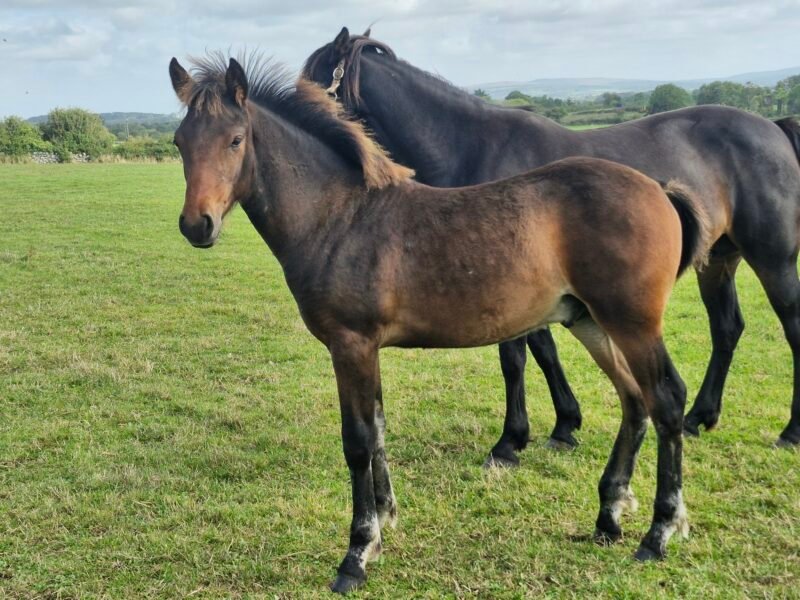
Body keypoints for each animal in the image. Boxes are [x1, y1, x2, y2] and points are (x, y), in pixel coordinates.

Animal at [169, 53, 710, 593]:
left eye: (235, 139)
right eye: (179, 141)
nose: (197, 225)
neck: (339, 216)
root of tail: (658, 189)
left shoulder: (350, 344)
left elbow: (357, 440)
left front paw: (357, 553)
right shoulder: (366, 349)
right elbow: (378, 428)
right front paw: (385, 520)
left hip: (633, 323)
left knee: (666, 400)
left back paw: (659, 532)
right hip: (591, 322)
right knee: (634, 400)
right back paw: (609, 517)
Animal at [303, 28, 800, 459]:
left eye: (314, 78)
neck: (472, 145)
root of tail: (774, 128)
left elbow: (516, 357)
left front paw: (511, 441)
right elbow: (543, 351)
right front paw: (564, 425)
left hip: (772, 258)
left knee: (790, 325)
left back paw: (789, 432)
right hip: (718, 260)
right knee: (727, 328)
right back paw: (700, 416)